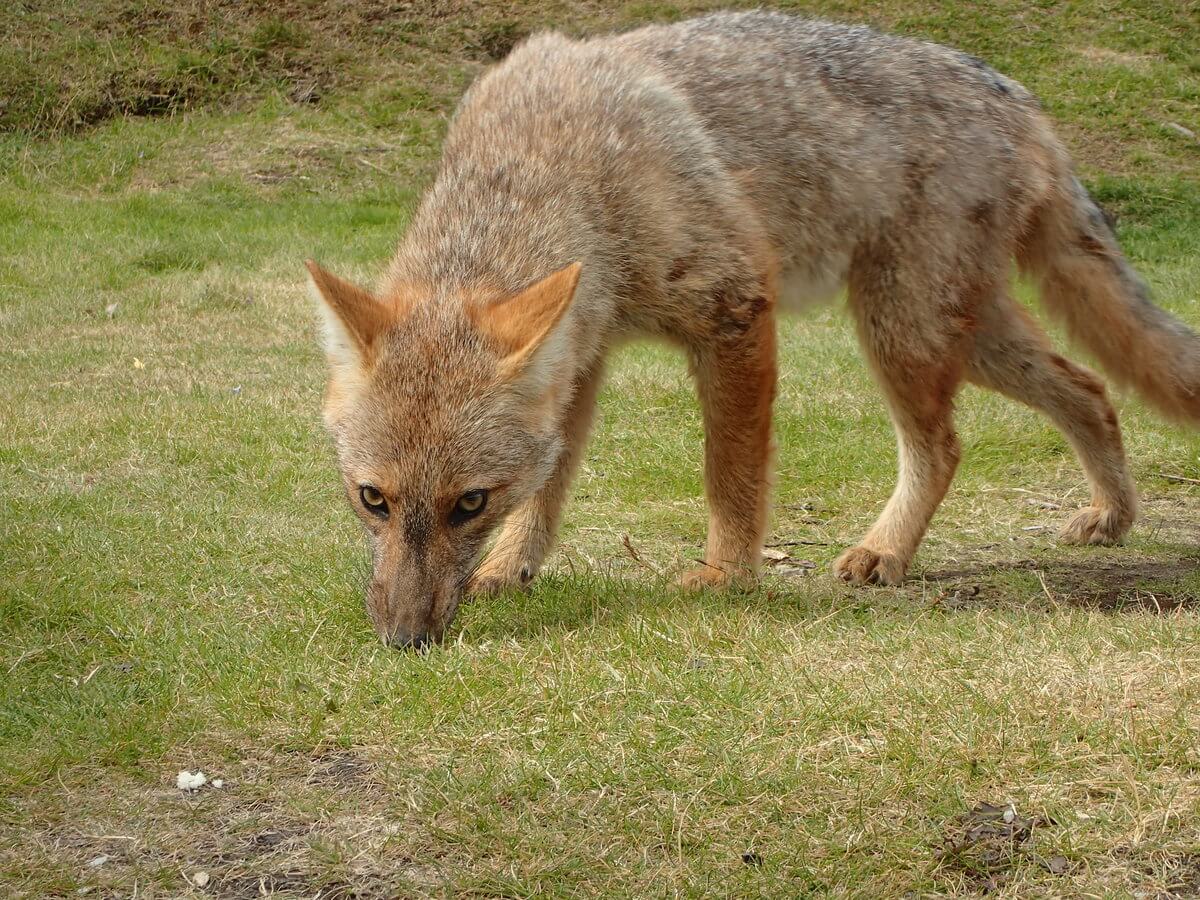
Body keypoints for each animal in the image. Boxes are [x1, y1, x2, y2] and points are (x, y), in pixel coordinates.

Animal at [304, 10, 1200, 652]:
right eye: (373, 499)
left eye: (469, 503)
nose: (405, 641)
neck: (546, 162)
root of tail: (1017, 93)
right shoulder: (583, 358)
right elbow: (552, 486)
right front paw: (510, 569)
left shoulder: (736, 310)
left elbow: (728, 474)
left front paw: (726, 575)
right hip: (962, 336)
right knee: (1089, 388)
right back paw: (1111, 515)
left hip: (902, 333)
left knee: (946, 445)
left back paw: (886, 551)